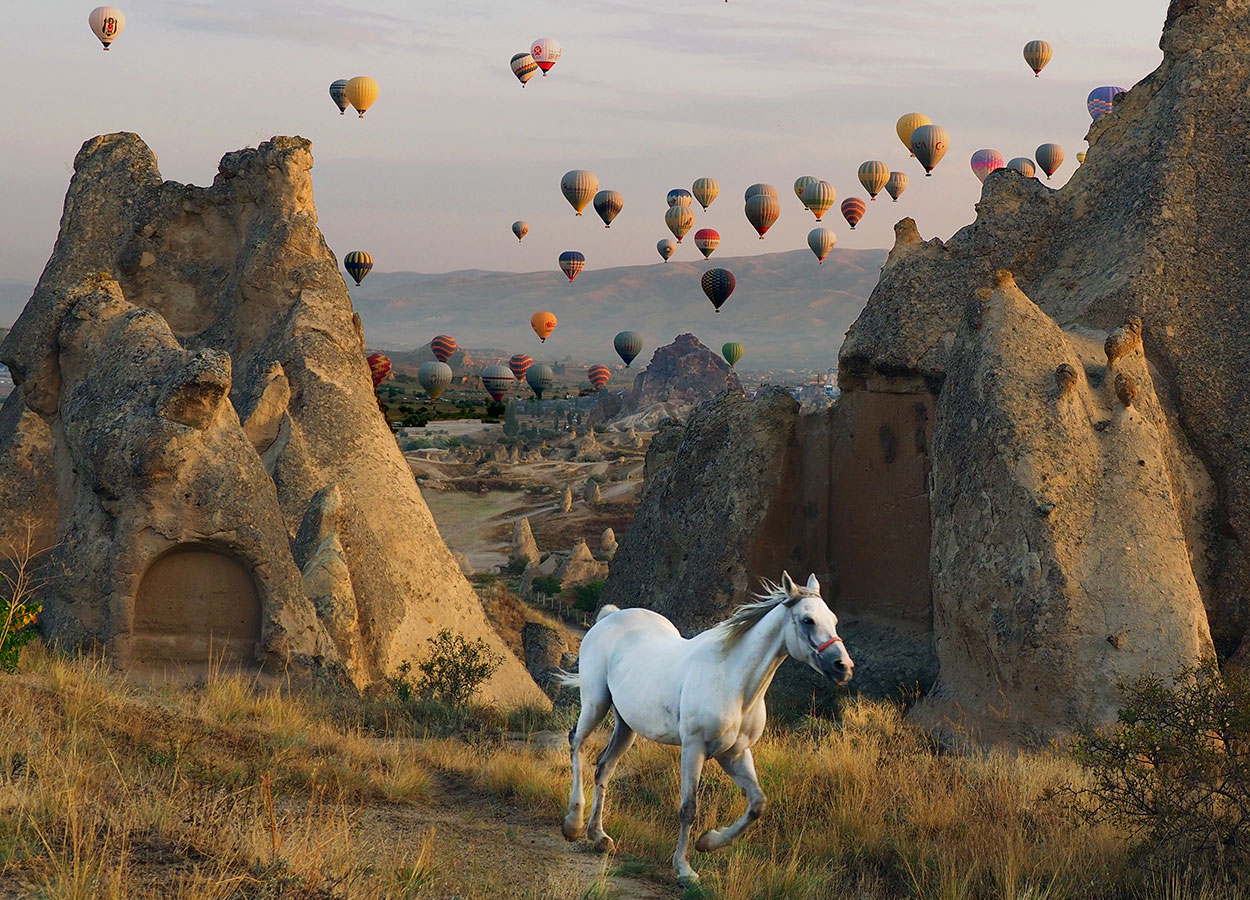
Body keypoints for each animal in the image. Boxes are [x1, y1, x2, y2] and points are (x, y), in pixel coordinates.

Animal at [562, 572, 855, 880]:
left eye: (833, 619)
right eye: (808, 620)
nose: (843, 667)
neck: (734, 683)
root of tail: (610, 616)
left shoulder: (734, 753)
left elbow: (757, 804)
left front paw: (708, 842)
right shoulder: (694, 748)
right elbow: (689, 808)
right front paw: (683, 869)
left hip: (626, 726)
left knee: (604, 766)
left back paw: (599, 837)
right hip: (595, 703)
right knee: (576, 744)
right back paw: (573, 824)